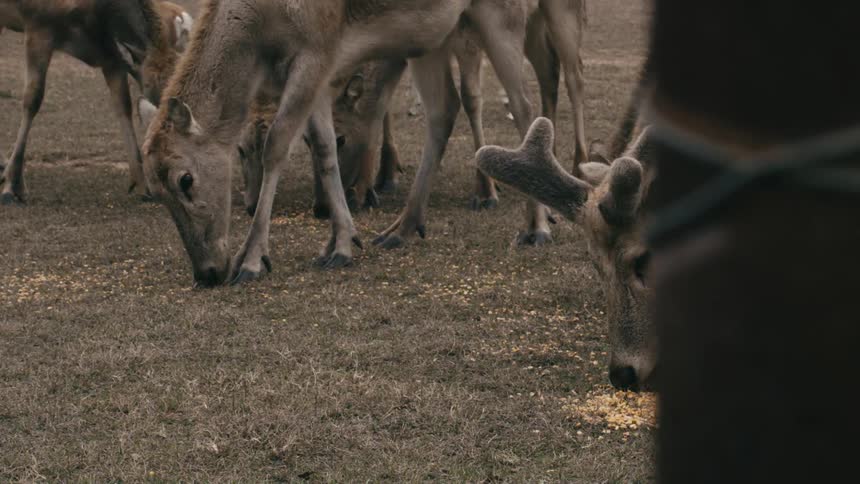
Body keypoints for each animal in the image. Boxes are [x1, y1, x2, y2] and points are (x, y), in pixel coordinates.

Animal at [0, 0, 176, 205]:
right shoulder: (38, 26)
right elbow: (32, 100)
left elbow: (123, 106)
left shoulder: (112, 57)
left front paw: (142, 184)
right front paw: (12, 186)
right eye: (149, 84)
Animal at [141, 0, 588, 287]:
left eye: (185, 179)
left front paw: (251, 260)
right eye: (156, 190)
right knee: (444, 109)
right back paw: (401, 228)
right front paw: (341, 242)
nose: (207, 273)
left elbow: (279, 144)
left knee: (528, 102)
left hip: (503, 16)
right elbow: (322, 145)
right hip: (431, 34)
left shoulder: (316, 49)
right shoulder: (321, 68)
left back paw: (536, 226)